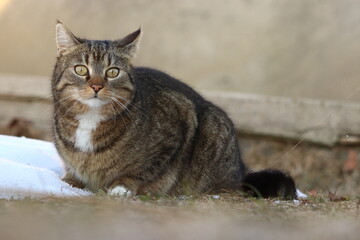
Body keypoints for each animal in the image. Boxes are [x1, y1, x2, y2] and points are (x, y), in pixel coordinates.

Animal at [51, 21, 298, 199]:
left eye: (112, 72)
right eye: (81, 69)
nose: (96, 86)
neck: (90, 119)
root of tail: (241, 170)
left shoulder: (176, 129)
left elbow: (141, 170)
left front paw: (122, 187)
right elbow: (73, 172)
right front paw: (66, 182)